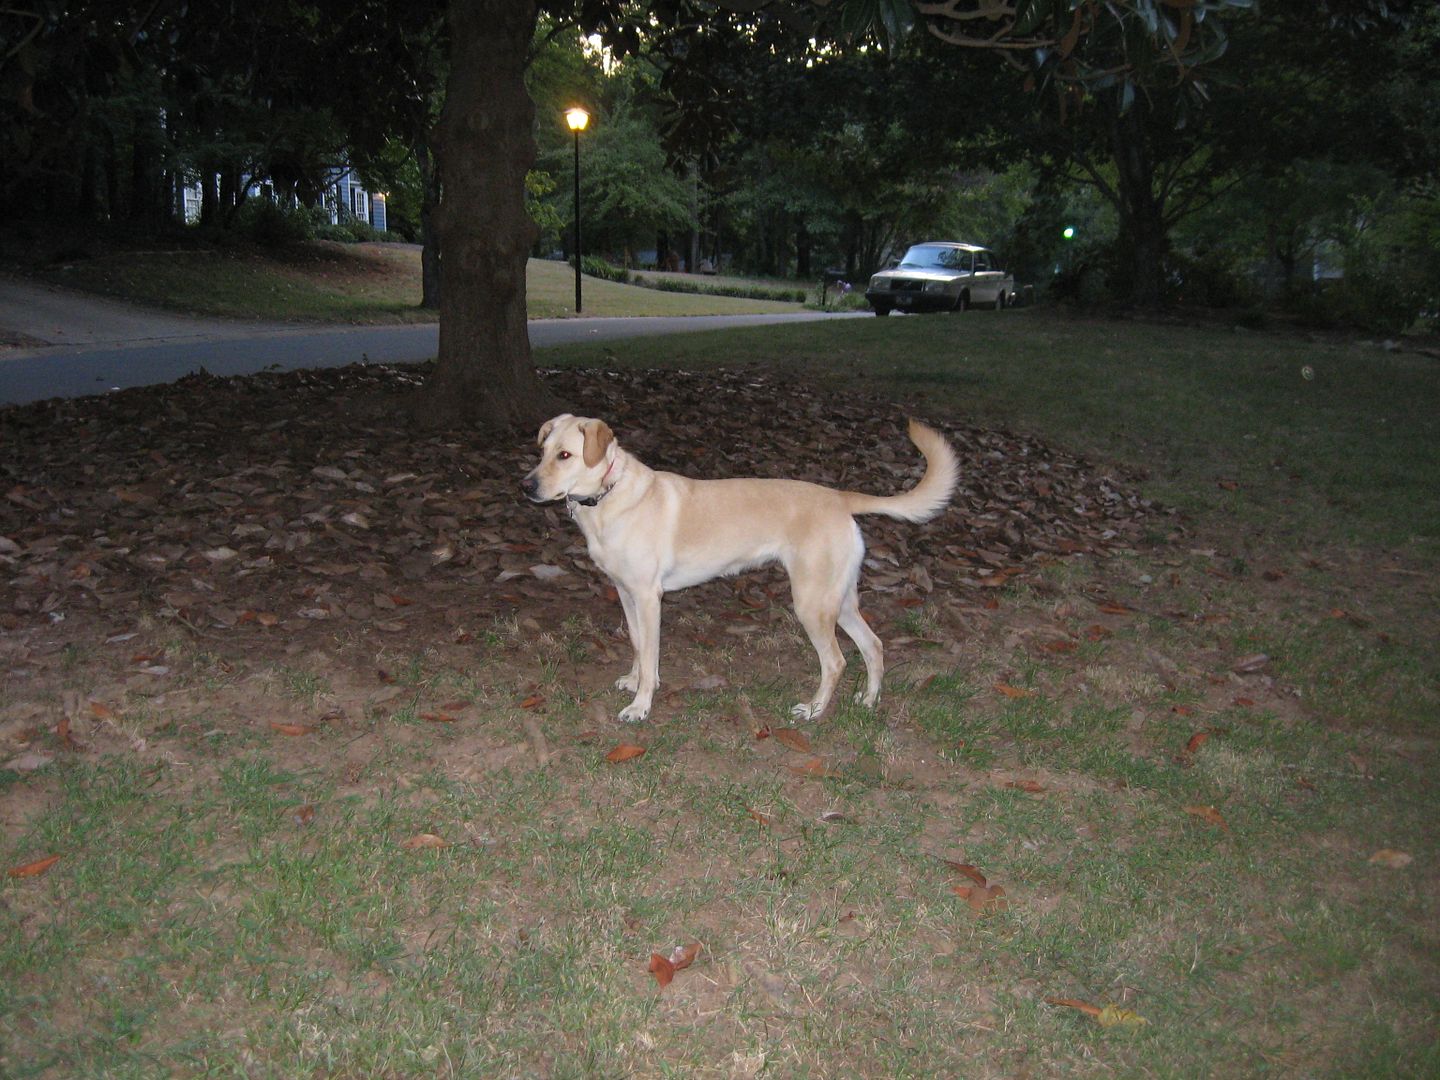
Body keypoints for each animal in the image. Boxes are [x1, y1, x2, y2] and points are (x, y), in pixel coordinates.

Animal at [521, 417, 956, 722]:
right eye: (542, 450)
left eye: (564, 455)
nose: (526, 486)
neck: (608, 496)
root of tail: (838, 497)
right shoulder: (627, 593)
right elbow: (639, 645)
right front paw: (635, 681)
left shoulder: (648, 597)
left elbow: (650, 653)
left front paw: (641, 705)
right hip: (839, 601)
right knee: (874, 646)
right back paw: (868, 701)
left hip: (811, 604)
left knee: (836, 662)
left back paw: (813, 711)